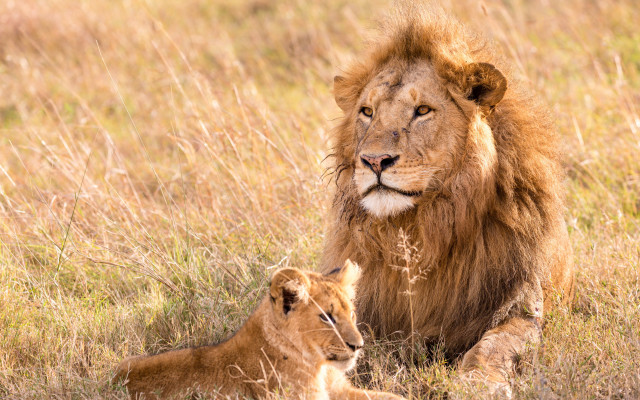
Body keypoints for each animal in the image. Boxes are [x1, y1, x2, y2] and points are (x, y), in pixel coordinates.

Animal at [113, 261, 406, 400]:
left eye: (351, 313)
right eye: (326, 317)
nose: (358, 346)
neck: (320, 367)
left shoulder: (341, 392)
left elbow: (393, 397)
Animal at [321, 5, 574, 396]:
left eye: (423, 111)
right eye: (367, 112)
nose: (374, 161)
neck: (420, 228)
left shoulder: (520, 304)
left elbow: (494, 345)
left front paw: (479, 385)